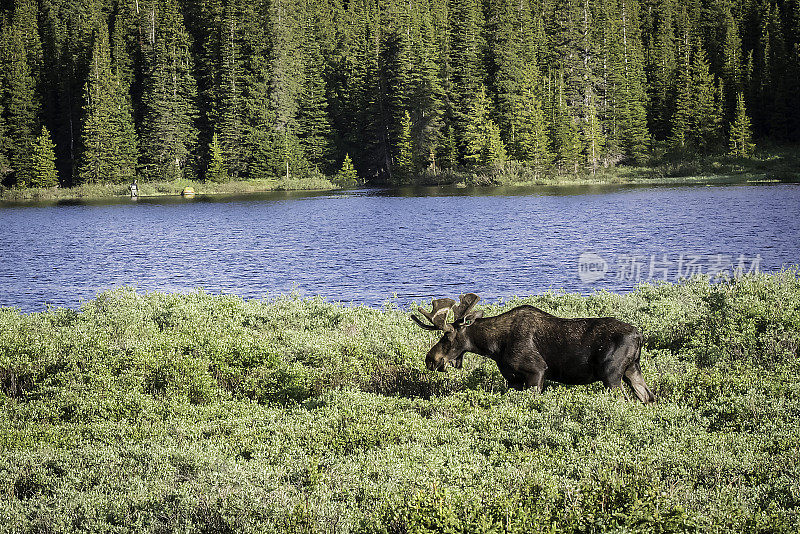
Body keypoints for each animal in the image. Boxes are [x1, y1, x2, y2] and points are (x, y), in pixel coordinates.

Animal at [412, 296, 656, 404]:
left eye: (447, 335)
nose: (430, 359)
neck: (494, 346)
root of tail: (639, 335)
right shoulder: (512, 379)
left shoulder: (537, 371)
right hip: (633, 370)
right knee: (649, 397)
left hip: (611, 375)